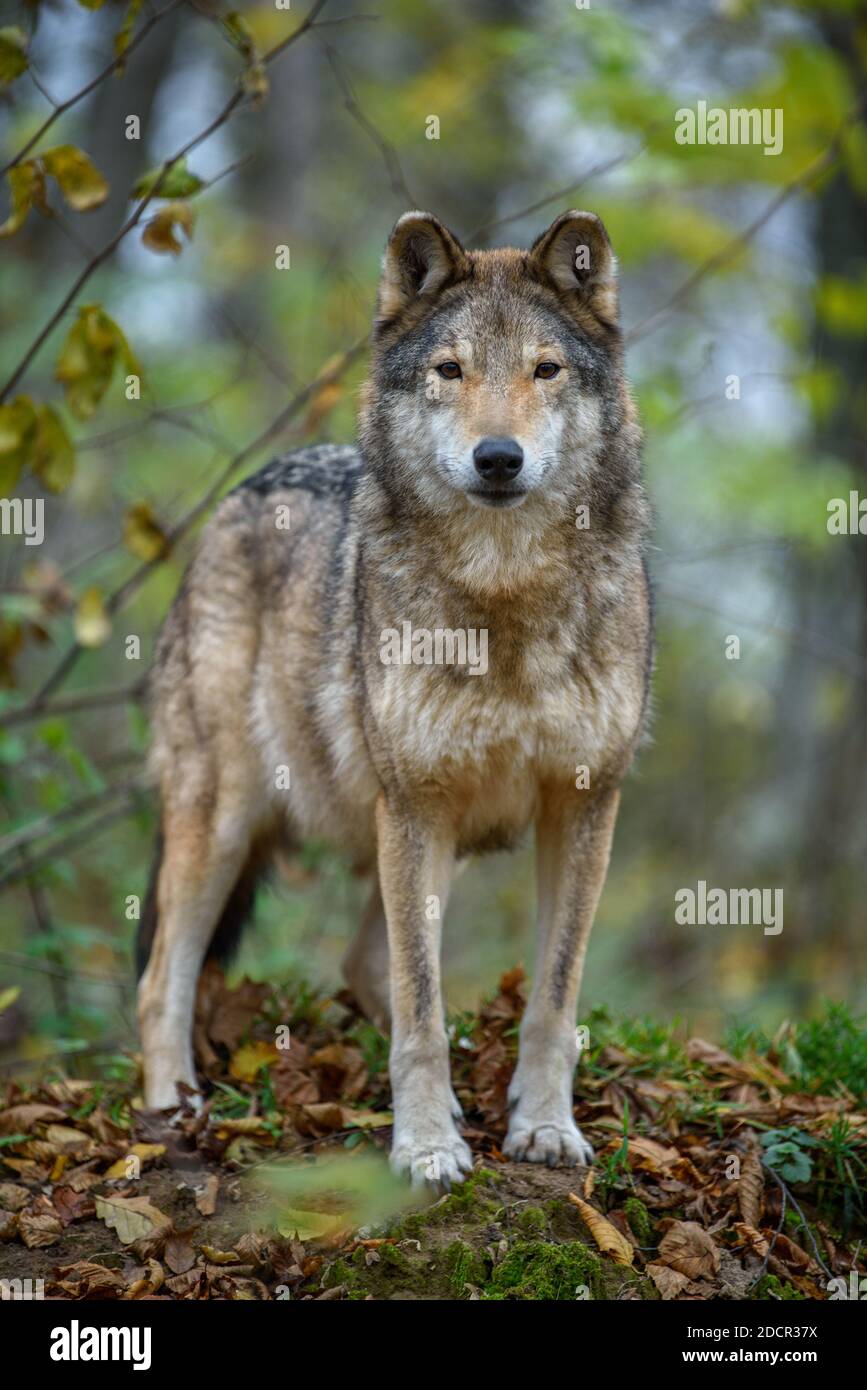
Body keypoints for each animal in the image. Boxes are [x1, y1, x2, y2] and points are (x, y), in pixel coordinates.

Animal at [137, 208, 653, 1186]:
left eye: (544, 370)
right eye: (450, 369)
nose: (498, 458)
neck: (501, 601)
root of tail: (243, 493)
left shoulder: (584, 804)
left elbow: (552, 1000)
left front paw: (542, 1128)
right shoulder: (416, 804)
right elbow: (420, 1006)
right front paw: (423, 1148)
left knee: (359, 963)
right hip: (230, 817)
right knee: (160, 982)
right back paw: (171, 1114)